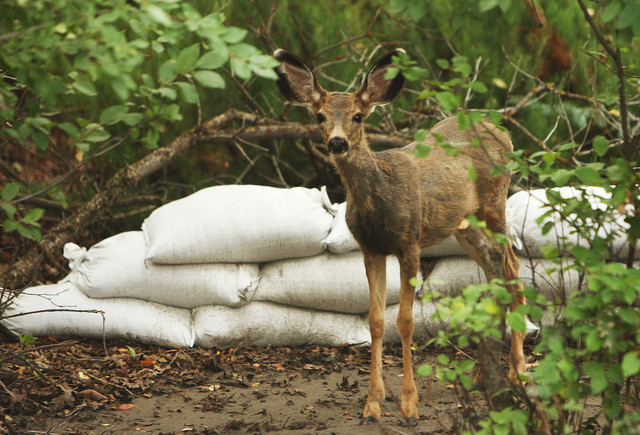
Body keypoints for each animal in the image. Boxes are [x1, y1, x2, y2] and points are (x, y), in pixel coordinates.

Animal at [273, 48, 526, 425]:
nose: (337, 142)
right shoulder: (370, 249)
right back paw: (485, 375)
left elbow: (404, 321)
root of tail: (503, 131)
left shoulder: (410, 243)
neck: (380, 198)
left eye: (358, 116)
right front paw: (372, 405)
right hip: (465, 225)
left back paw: (518, 371)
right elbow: (376, 322)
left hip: (494, 205)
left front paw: (409, 405)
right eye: (319, 116)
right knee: (497, 271)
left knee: (513, 267)